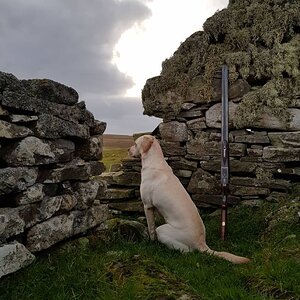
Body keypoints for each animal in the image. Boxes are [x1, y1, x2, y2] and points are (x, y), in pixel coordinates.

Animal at [129, 135, 251, 264]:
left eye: (135, 144)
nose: (128, 150)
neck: (154, 161)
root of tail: (201, 243)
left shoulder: (147, 206)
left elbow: (151, 228)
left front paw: (151, 242)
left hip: (162, 230)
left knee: (186, 252)